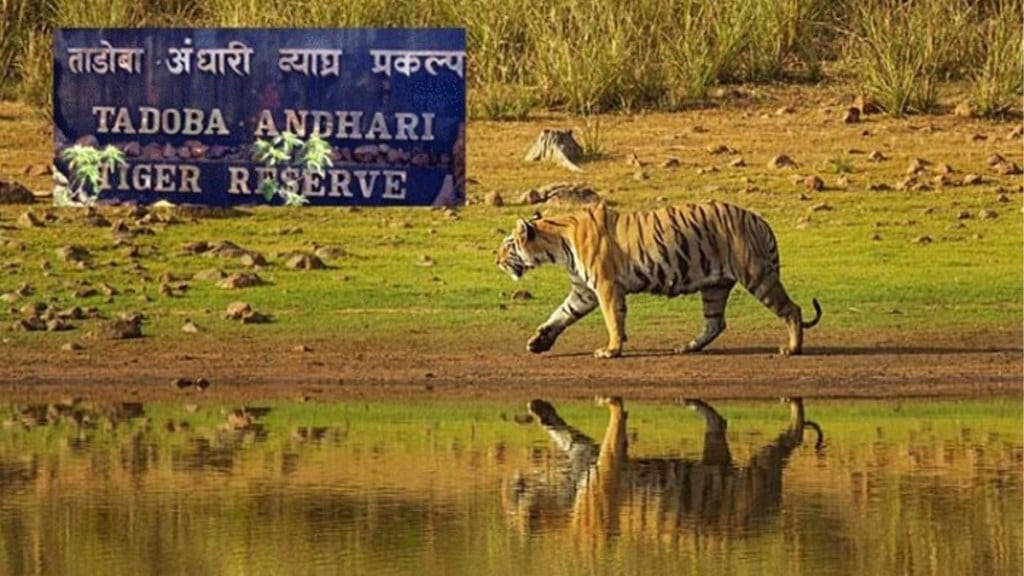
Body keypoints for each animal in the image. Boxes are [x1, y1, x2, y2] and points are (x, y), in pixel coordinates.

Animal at [495, 199, 823, 356]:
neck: (557, 245)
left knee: (792, 309)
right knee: (715, 323)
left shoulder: (605, 286)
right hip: (715, 286)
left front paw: (611, 350)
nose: (496, 260)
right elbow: (561, 314)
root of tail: (760, 219)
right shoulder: (583, 291)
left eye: (508, 245)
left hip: (756, 275)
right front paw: (539, 341)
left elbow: (612, 320)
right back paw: (687, 347)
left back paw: (792, 349)